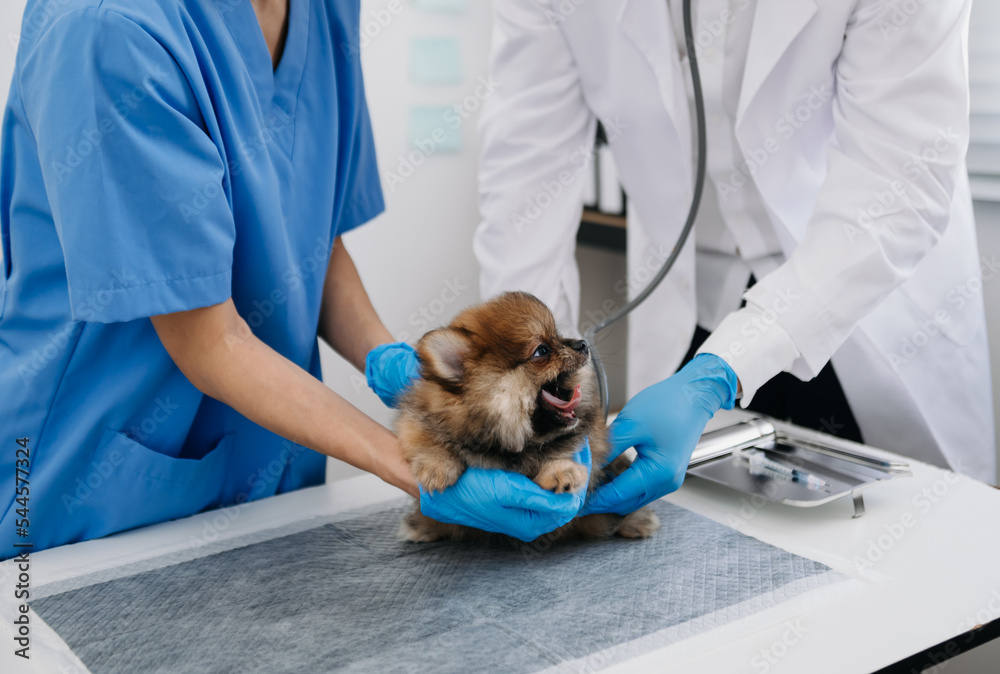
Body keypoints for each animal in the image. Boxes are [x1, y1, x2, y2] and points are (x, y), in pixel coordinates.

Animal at [394, 292, 660, 544]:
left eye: (558, 336)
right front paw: (436, 466)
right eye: (541, 350)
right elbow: (425, 438)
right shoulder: (416, 418)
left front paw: (561, 472)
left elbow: (560, 452)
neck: (513, 444)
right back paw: (421, 526)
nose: (583, 344)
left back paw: (636, 521)